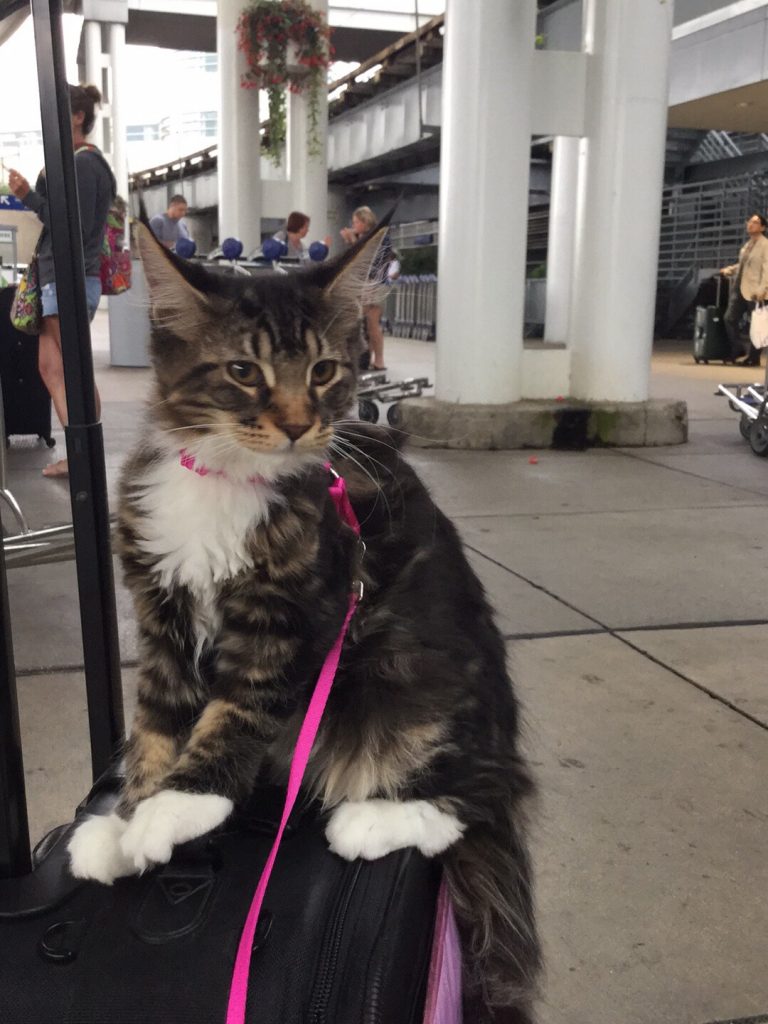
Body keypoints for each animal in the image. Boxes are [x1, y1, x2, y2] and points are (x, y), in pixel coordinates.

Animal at [69, 220, 544, 1019]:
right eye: (243, 371)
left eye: (323, 372)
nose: (297, 426)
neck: (225, 478)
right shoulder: (160, 613)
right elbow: (157, 722)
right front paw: (127, 818)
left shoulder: (288, 619)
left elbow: (232, 714)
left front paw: (176, 808)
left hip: (411, 675)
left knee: (476, 795)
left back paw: (371, 818)